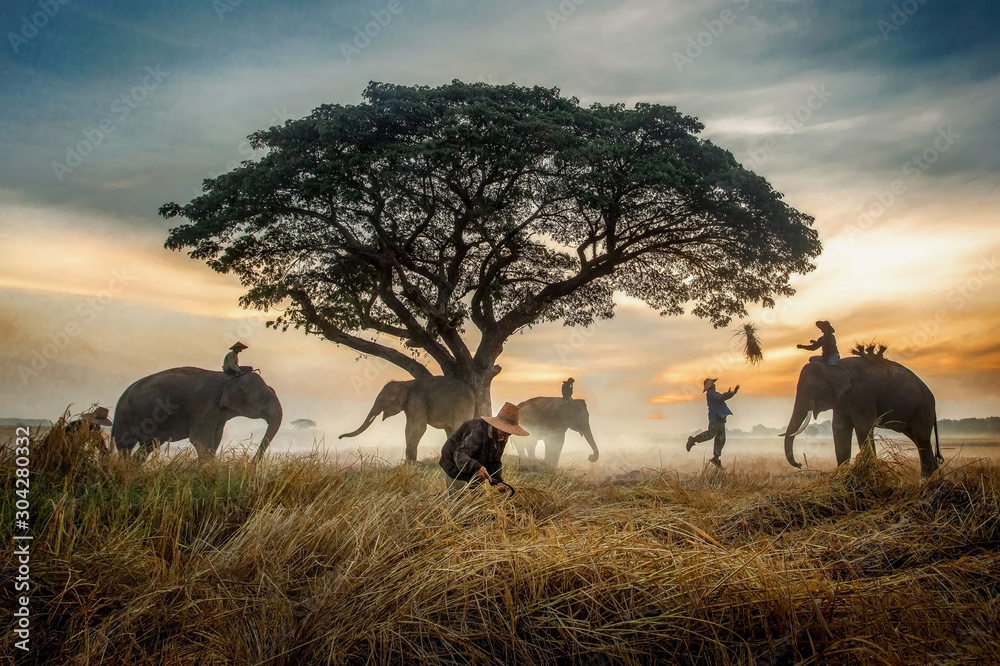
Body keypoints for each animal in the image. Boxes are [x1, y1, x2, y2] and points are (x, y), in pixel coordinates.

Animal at [112, 367, 282, 462]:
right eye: (265, 397)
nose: (248, 465)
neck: (230, 379)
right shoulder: (205, 406)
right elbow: (200, 440)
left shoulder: (217, 415)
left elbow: (215, 439)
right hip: (125, 417)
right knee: (125, 445)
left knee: (148, 446)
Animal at [339, 376, 476, 461]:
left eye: (382, 399)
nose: (339, 437)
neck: (405, 382)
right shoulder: (409, 406)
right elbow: (408, 428)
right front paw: (408, 462)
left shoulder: (416, 402)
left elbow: (419, 428)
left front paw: (411, 462)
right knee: (449, 431)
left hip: (462, 407)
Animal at [781, 356, 943, 477]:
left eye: (811, 389)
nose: (800, 464)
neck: (835, 366)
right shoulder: (841, 401)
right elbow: (839, 428)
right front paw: (842, 476)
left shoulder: (863, 393)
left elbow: (863, 427)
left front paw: (868, 472)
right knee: (919, 438)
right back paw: (934, 478)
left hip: (923, 408)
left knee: (920, 437)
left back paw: (926, 479)